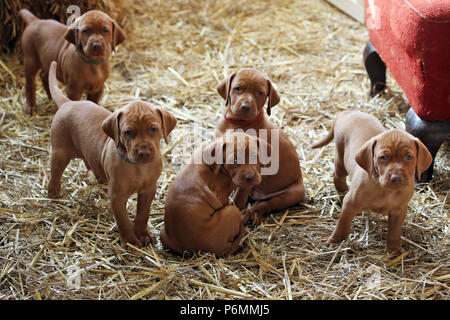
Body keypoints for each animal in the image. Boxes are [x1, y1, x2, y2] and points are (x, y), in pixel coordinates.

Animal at [214, 69, 306, 225]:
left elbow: (239, 197)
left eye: (260, 93)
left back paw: (251, 215)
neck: (237, 123)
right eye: (237, 88)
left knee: (265, 204)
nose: (245, 107)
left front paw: (235, 210)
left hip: (291, 193)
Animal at [312, 110, 432, 252]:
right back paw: (342, 193)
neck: (386, 191)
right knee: (338, 176)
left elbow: (395, 231)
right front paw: (335, 241)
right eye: (383, 157)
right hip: (340, 157)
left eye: (409, 157)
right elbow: (342, 225)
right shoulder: (350, 204)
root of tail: (348, 112)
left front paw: (394, 250)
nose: (396, 178)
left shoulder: (399, 211)